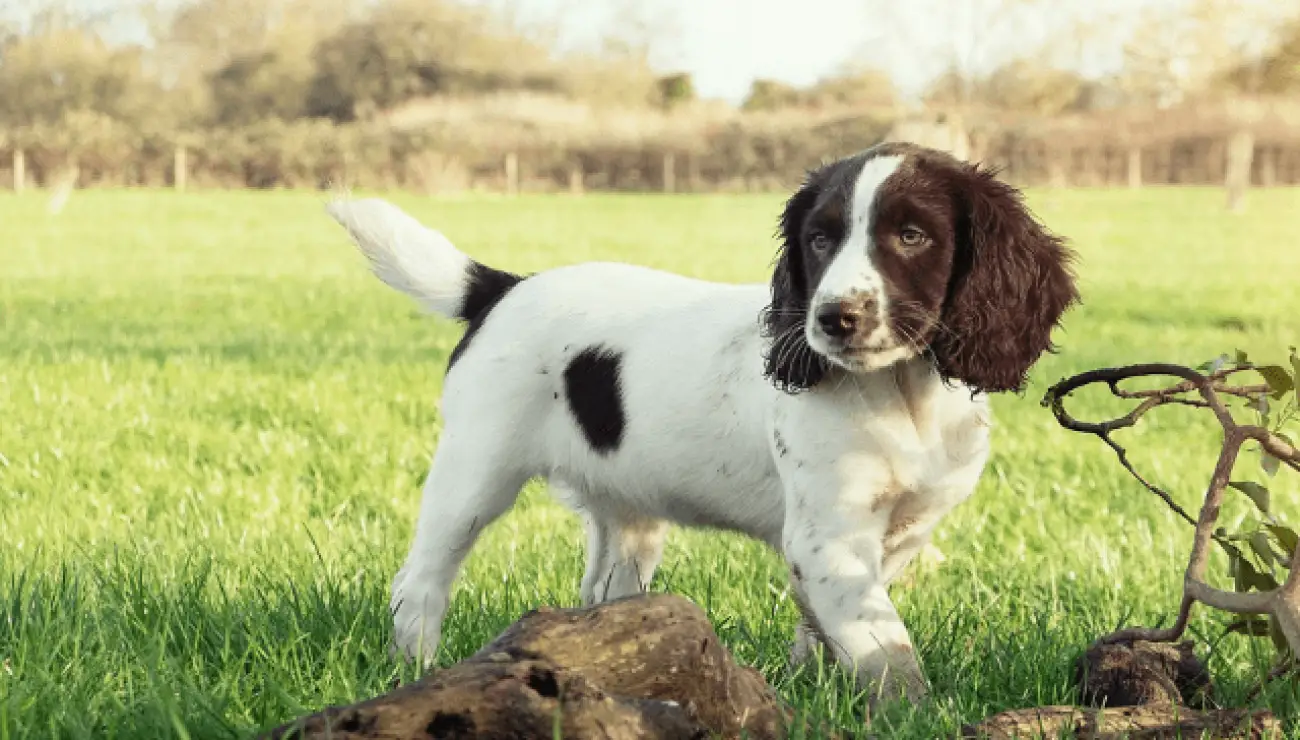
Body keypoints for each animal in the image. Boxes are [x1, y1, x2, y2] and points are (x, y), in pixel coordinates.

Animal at [325, 141, 1076, 702]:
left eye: (913, 236)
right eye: (819, 240)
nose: (833, 319)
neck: (900, 391)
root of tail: (501, 287)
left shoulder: (899, 533)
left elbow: (833, 629)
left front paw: (815, 692)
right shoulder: (827, 537)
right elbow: (885, 646)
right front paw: (910, 711)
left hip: (626, 514)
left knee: (604, 593)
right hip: (476, 470)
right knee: (420, 582)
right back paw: (419, 674)